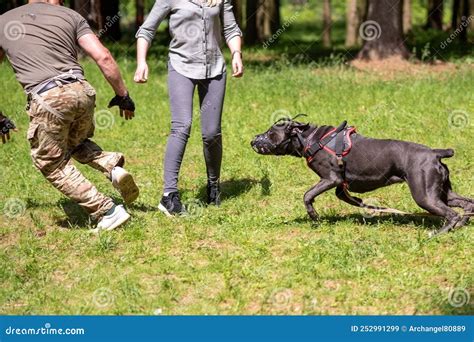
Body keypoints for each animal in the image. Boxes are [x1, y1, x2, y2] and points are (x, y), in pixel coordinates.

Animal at [250, 116, 472, 236]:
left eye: (270, 133)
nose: (253, 140)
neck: (310, 139)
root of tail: (435, 153)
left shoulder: (331, 178)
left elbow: (307, 195)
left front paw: (314, 216)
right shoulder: (341, 186)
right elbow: (348, 198)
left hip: (424, 194)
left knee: (451, 214)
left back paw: (438, 233)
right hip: (441, 191)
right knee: (467, 204)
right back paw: (462, 225)